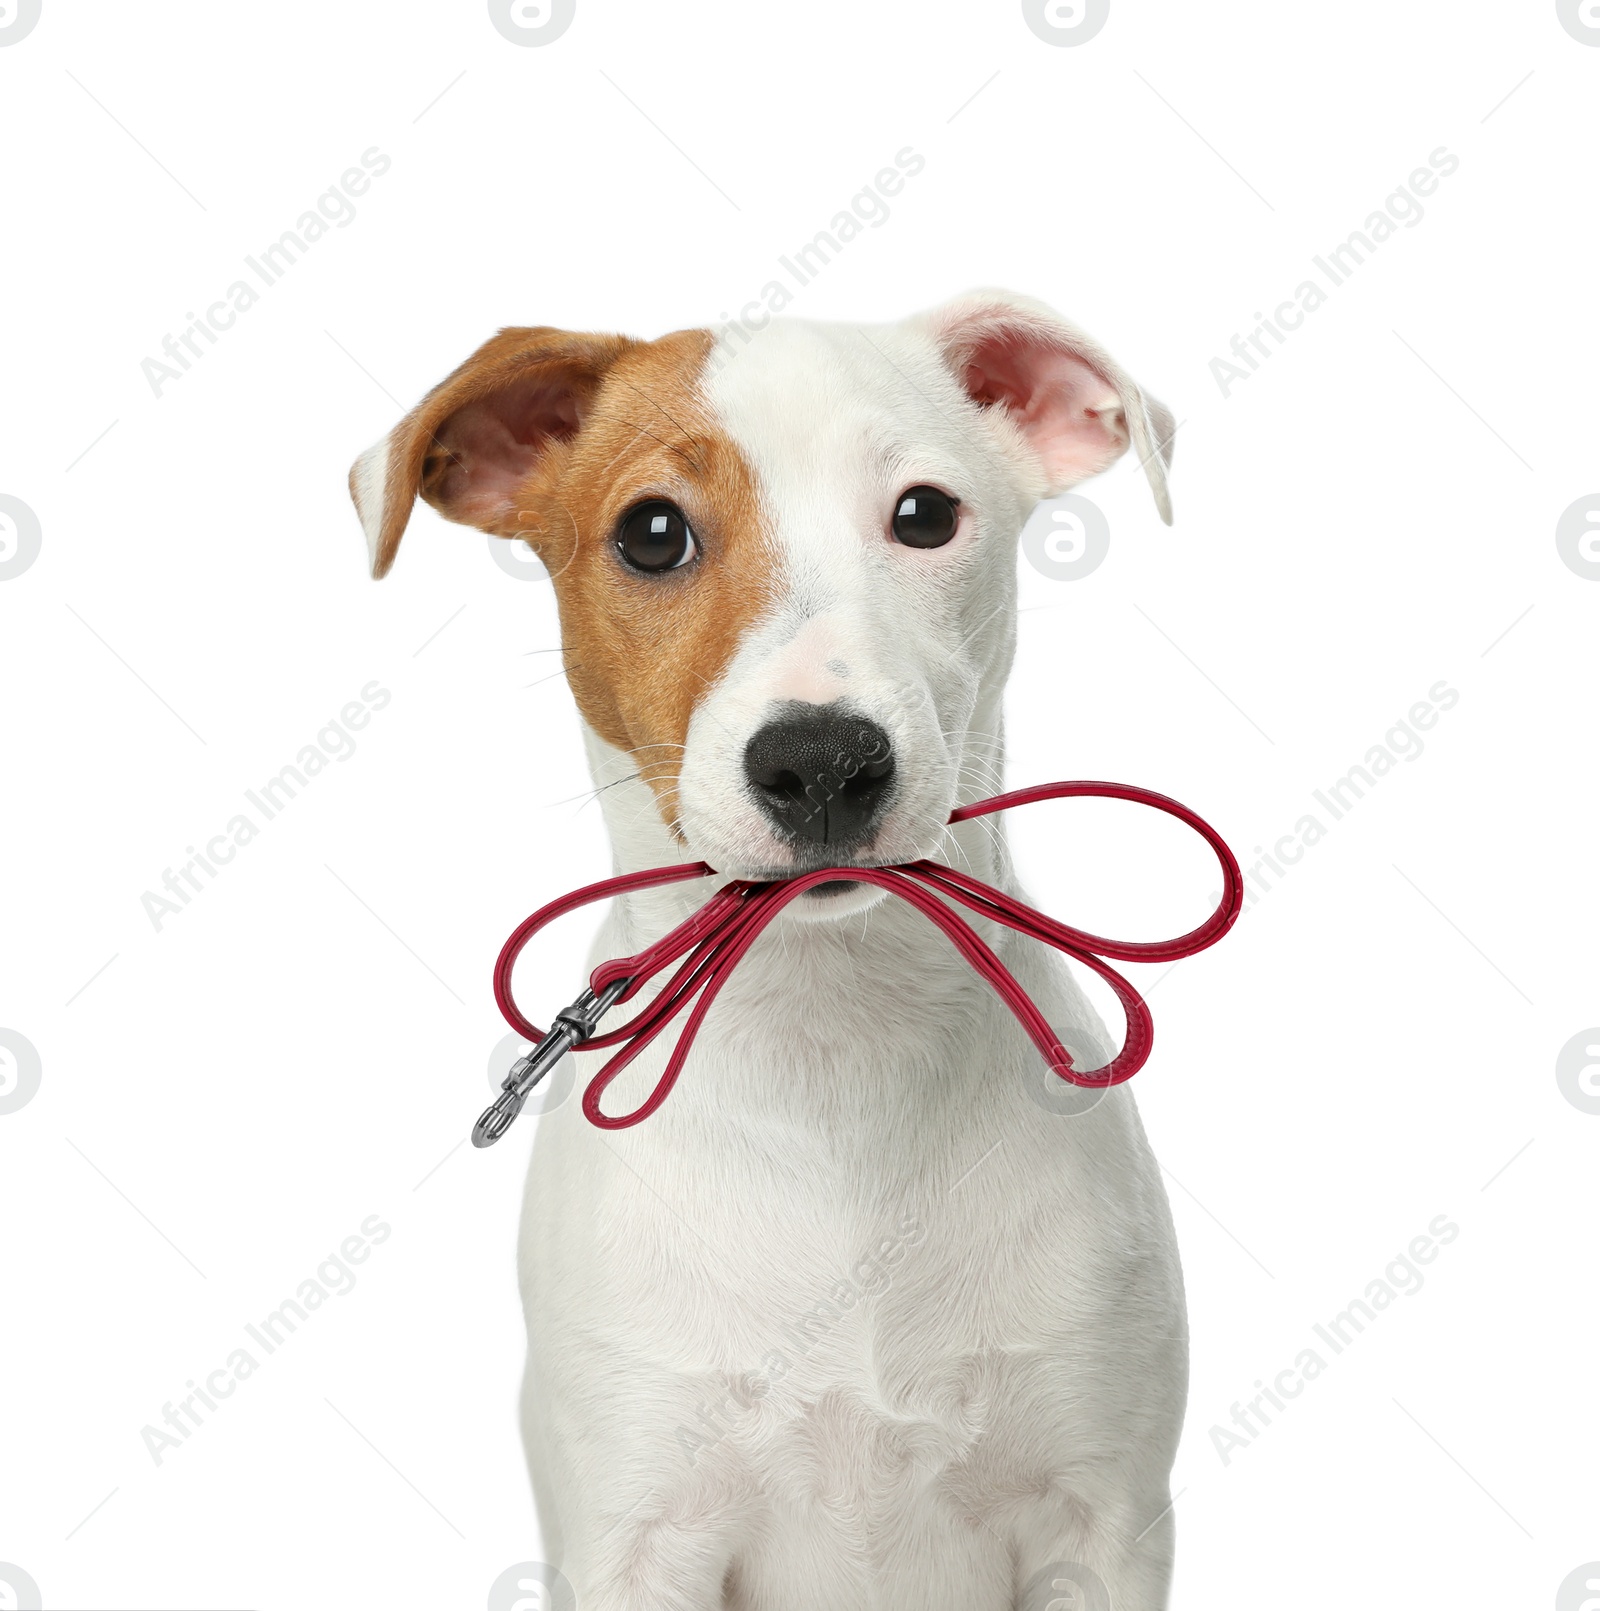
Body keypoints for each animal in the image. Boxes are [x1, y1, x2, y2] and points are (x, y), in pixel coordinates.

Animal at [359, 293, 1185, 1611]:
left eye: (924, 514)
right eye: (650, 533)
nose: (824, 762)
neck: (831, 1039)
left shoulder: (1097, 1524)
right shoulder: (639, 1535)